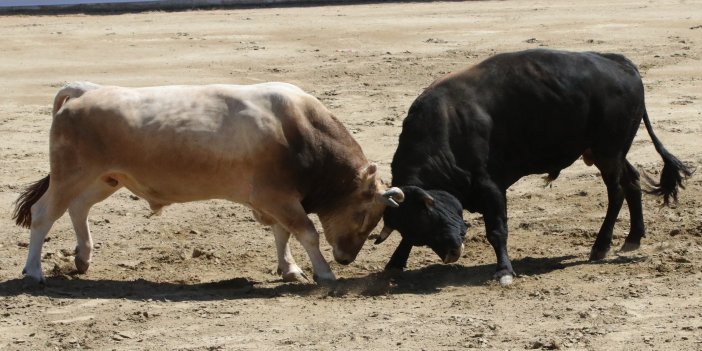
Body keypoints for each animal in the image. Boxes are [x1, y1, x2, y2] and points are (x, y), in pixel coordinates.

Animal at [12, 82, 408, 284]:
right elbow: (306, 232)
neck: (299, 130)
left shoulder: (275, 200)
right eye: (363, 214)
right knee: (44, 213)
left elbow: (282, 233)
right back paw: (34, 271)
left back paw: (83, 258)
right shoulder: (278, 196)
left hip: (105, 178)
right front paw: (323, 272)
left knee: (78, 207)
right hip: (71, 173)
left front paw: (290, 268)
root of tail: (85, 90)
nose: (345, 258)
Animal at [380, 49, 692, 286]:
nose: (452, 253)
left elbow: (497, 230)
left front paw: (504, 272)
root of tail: (620, 62)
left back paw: (600, 246)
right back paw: (633, 238)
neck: (446, 128)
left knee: (616, 192)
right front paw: (395, 261)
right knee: (632, 181)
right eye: (419, 228)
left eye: (430, 217)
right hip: (605, 151)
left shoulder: (491, 186)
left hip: (608, 151)